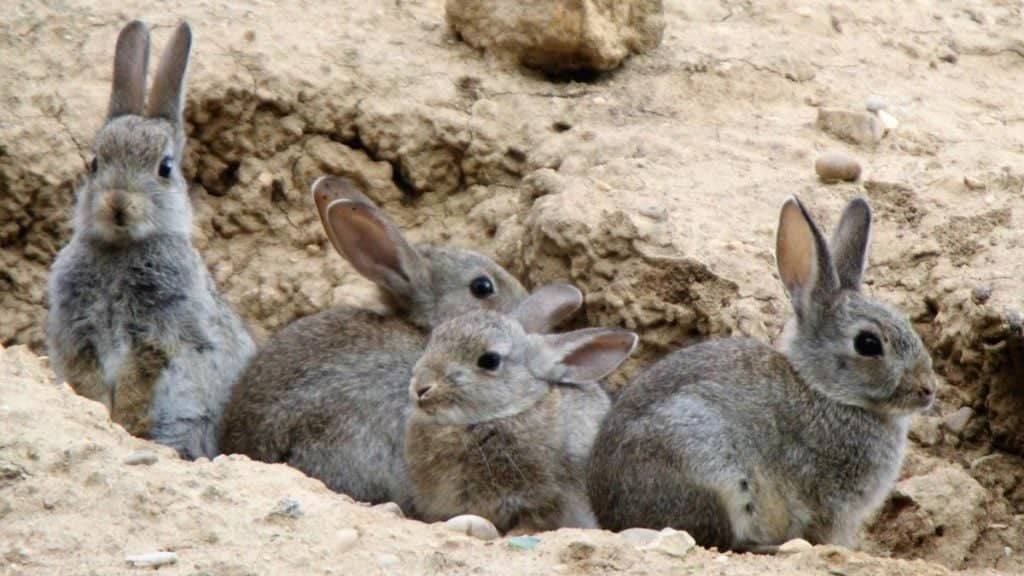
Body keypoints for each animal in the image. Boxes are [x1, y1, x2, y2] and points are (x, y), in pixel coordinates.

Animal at [46, 20, 256, 460]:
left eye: (165, 168)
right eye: (94, 163)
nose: (117, 203)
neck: (120, 250)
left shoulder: (159, 332)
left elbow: (139, 378)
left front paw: (124, 421)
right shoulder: (79, 333)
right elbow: (87, 380)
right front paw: (101, 414)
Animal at [587, 196, 936, 552]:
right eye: (868, 343)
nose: (928, 389)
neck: (823, 390)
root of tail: (610, 516)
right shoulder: (826, 504)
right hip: (708, 466)